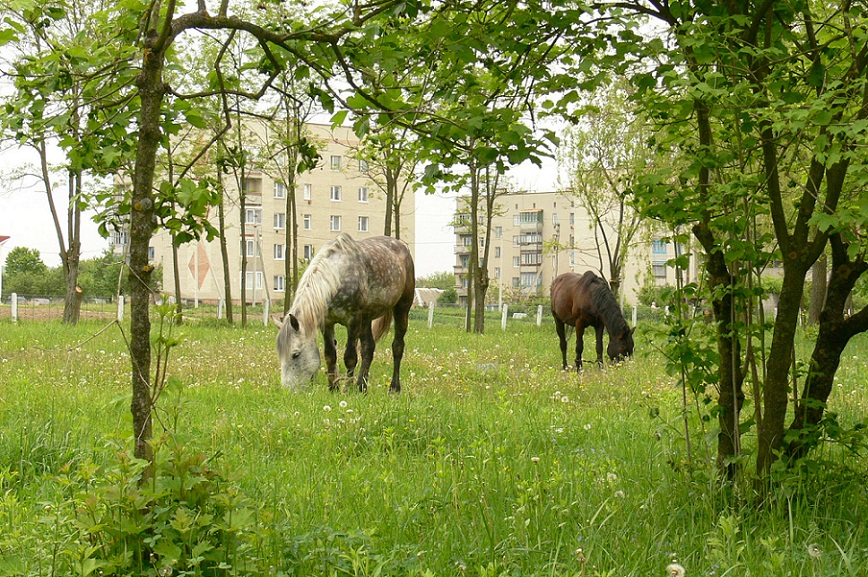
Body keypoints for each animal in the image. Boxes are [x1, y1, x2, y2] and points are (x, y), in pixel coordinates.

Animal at [276, 233, 416, 392]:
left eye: (295, 354)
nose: (288, 391)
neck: (337, 277)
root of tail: (401, 246)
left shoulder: (353, 321)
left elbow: (350, 357)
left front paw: (347, 390)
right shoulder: (327, 323)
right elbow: (330, 355)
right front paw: (333, 388)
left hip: (401, 308)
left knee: (397, 346)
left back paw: (394, 388)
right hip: (366, 318)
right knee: (368, 348)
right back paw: (361, 387)